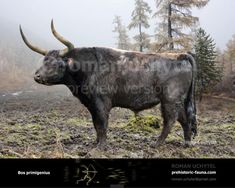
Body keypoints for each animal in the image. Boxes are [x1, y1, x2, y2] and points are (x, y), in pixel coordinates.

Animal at [19, 19, 197, 148]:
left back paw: (157, 143)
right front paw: (96, 142)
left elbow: (102, 123)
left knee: (171, 119)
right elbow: (95, 124)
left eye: (56, 63)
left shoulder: (101, 102)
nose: (37, 76)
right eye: (44, 60)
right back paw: (186, 142)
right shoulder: (91, 104)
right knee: (184, 118)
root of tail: (181, 55)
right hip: (177, 101)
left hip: (169, 99)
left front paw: (101, 146)